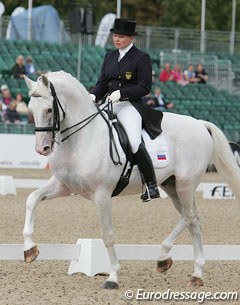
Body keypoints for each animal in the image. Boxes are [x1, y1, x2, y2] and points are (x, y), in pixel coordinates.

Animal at [23, 71, 240, 288]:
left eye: (49, 109)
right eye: (31, 109)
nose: (42, 149)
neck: (82, 138)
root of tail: (200, 124)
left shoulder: (102, 195)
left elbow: (108, 235)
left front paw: (112, 277)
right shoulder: (63, 186)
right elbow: (32, 199)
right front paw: (29, 249)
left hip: (186, 185)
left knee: (188, 217)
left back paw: (163, 257)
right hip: (172, 187)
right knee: (193, 221)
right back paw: (196, 274)